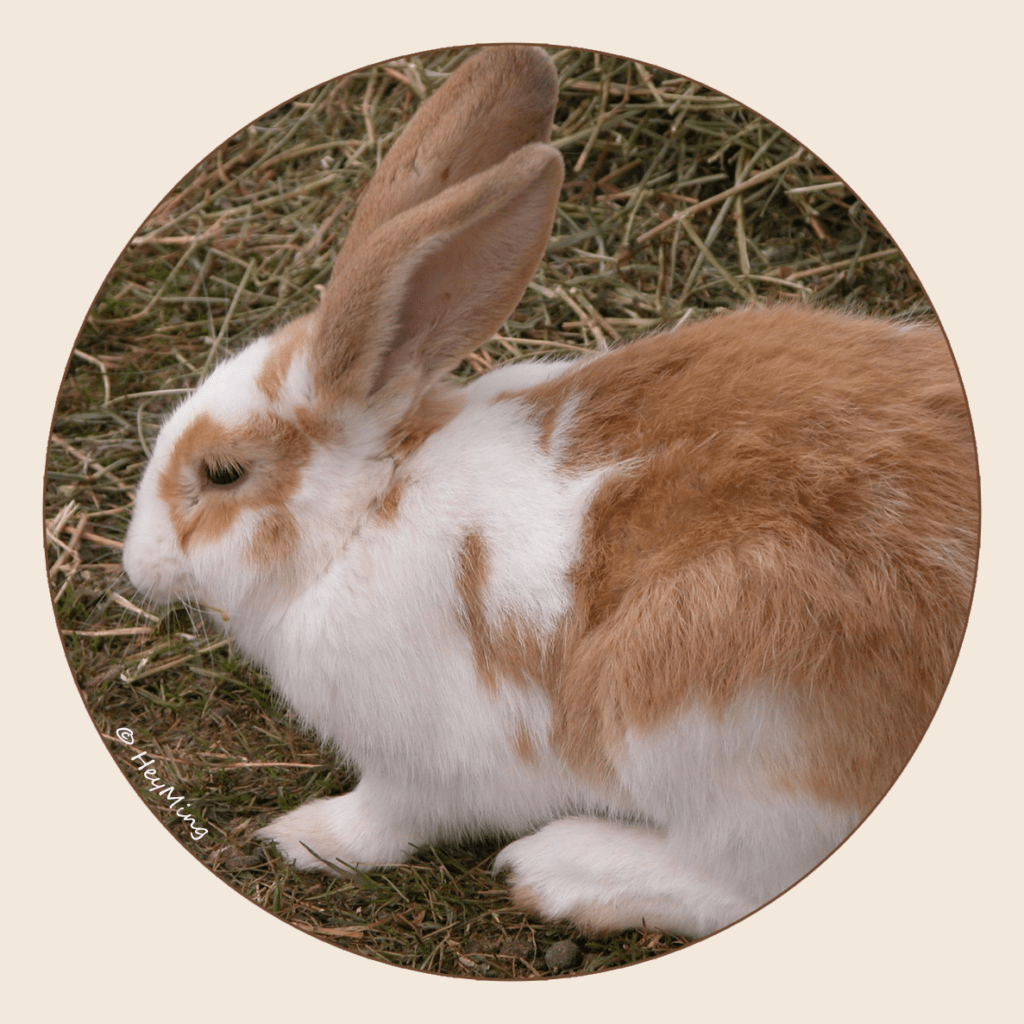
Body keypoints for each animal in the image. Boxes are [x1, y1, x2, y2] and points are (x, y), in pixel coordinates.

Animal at [121, 44, 978, 941]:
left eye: (222, 475)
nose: (136, 565)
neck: (365, 514)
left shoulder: (422, 767)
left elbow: (385, 819)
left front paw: (305, 837)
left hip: (720, 729)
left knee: (743, 878)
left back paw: (559, 870)